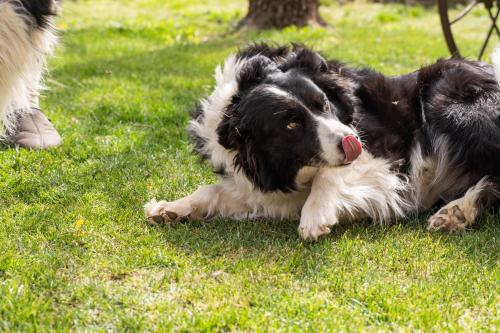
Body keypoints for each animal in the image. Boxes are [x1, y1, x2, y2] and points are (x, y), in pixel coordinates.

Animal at [146, 44, 500, 240]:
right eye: (291, 124)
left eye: (324, 103)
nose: (351, 141)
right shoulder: (263, 184)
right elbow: (214, 190)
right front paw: (171, 207)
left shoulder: (387, 149)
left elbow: (333, 172)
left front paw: (315, 215)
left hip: (451, 106)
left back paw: (459, 209)